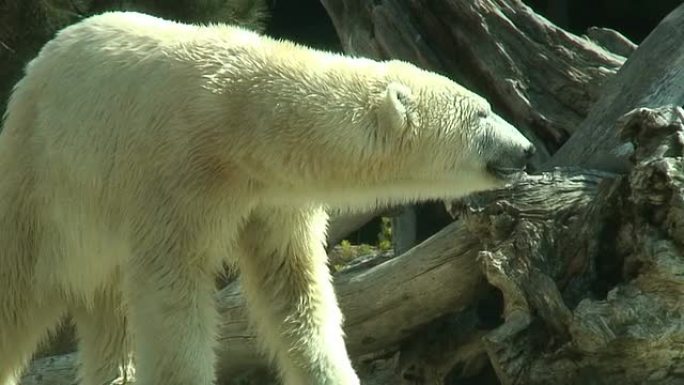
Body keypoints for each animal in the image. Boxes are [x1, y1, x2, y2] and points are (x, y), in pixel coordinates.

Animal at [0, 10, 536, 384]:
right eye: (483, 112)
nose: (527, 148)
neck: (242, 118)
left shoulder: (275, 196)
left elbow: (293, 286)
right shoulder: (176, 175)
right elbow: (171, 292)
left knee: (110, 317)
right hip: (39, 190)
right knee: (16, 292)